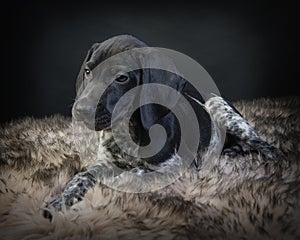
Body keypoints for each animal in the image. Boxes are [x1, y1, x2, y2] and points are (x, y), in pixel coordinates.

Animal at [43, 34, 280, 220]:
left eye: (122, 78)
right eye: (88, 71)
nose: (80, 109)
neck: (128, 130)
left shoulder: (178, 167)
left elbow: (137, 174)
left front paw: (119, 180)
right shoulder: (105, 162)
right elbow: (83, 176)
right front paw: (62, 200)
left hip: (222, 110)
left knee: (265, 145)